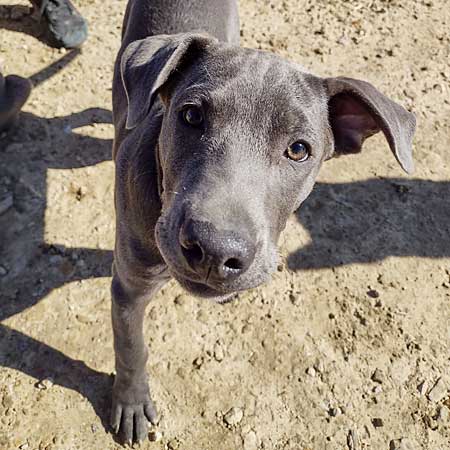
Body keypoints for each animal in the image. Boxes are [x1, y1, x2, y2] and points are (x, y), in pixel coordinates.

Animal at [110, 0, 416, 442]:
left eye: (299, 149)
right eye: (191, 116)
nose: (214, 251)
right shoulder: (128, 287)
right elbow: (131, 346)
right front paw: (131, 402)